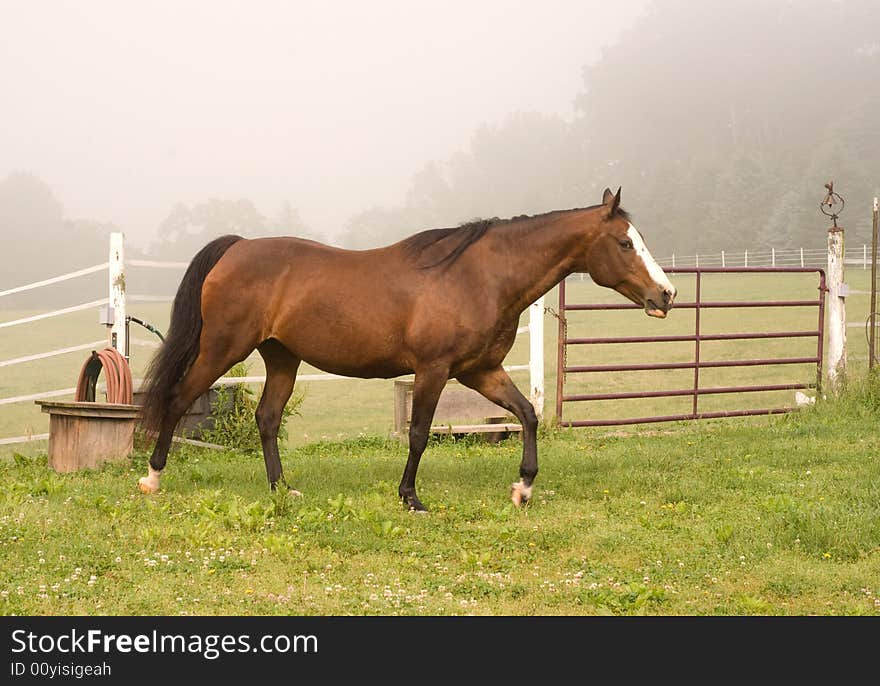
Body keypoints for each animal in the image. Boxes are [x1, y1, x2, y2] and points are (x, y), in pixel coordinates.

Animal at [138, 188, 676, 510]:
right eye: (625, 243)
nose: (667, 294)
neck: (479, 276)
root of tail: (237, 247)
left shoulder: (481, 371)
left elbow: (526, 413)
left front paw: (523, 487)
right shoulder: (434, 370)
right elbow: (418, 433)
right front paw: (410, 497)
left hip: (282, 357)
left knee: (267, 419)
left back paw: (281, 490)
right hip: (222, 349)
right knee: (179, 399)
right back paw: (152, 479)